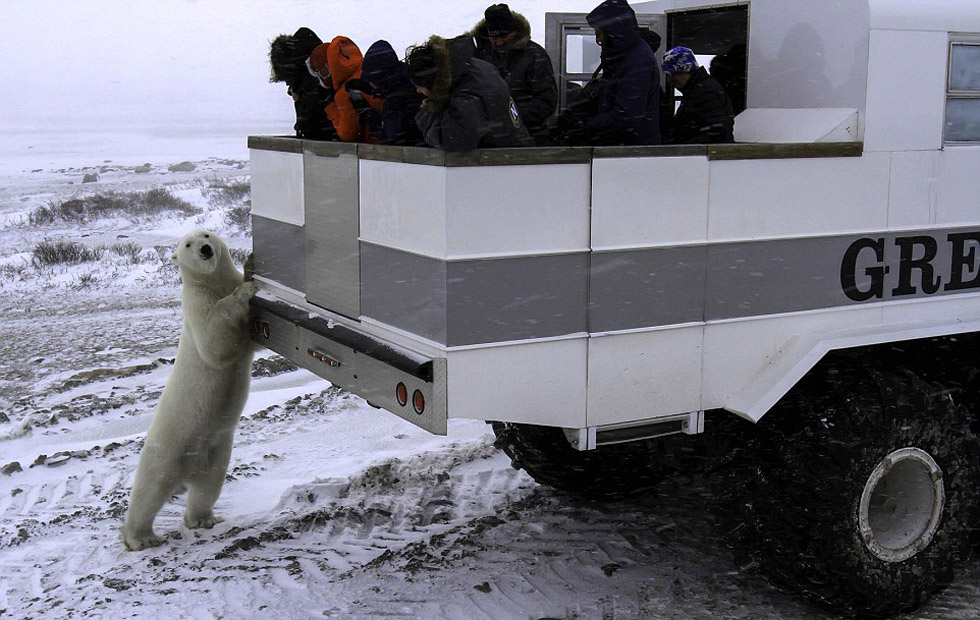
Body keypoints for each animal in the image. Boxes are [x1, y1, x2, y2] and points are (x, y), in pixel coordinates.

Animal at [121, 230, 256, 548]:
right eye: (187, 245)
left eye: (206, 234)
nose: (205, 249)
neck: (212, 283)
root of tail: (187, 471)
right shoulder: (196, 303)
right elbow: (214, 343)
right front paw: (244, 291)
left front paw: (249, 264)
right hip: (167, 449)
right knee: (149, 491)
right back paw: (141, 538)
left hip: (215, 453)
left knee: (208, 487)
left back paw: (204, 519)